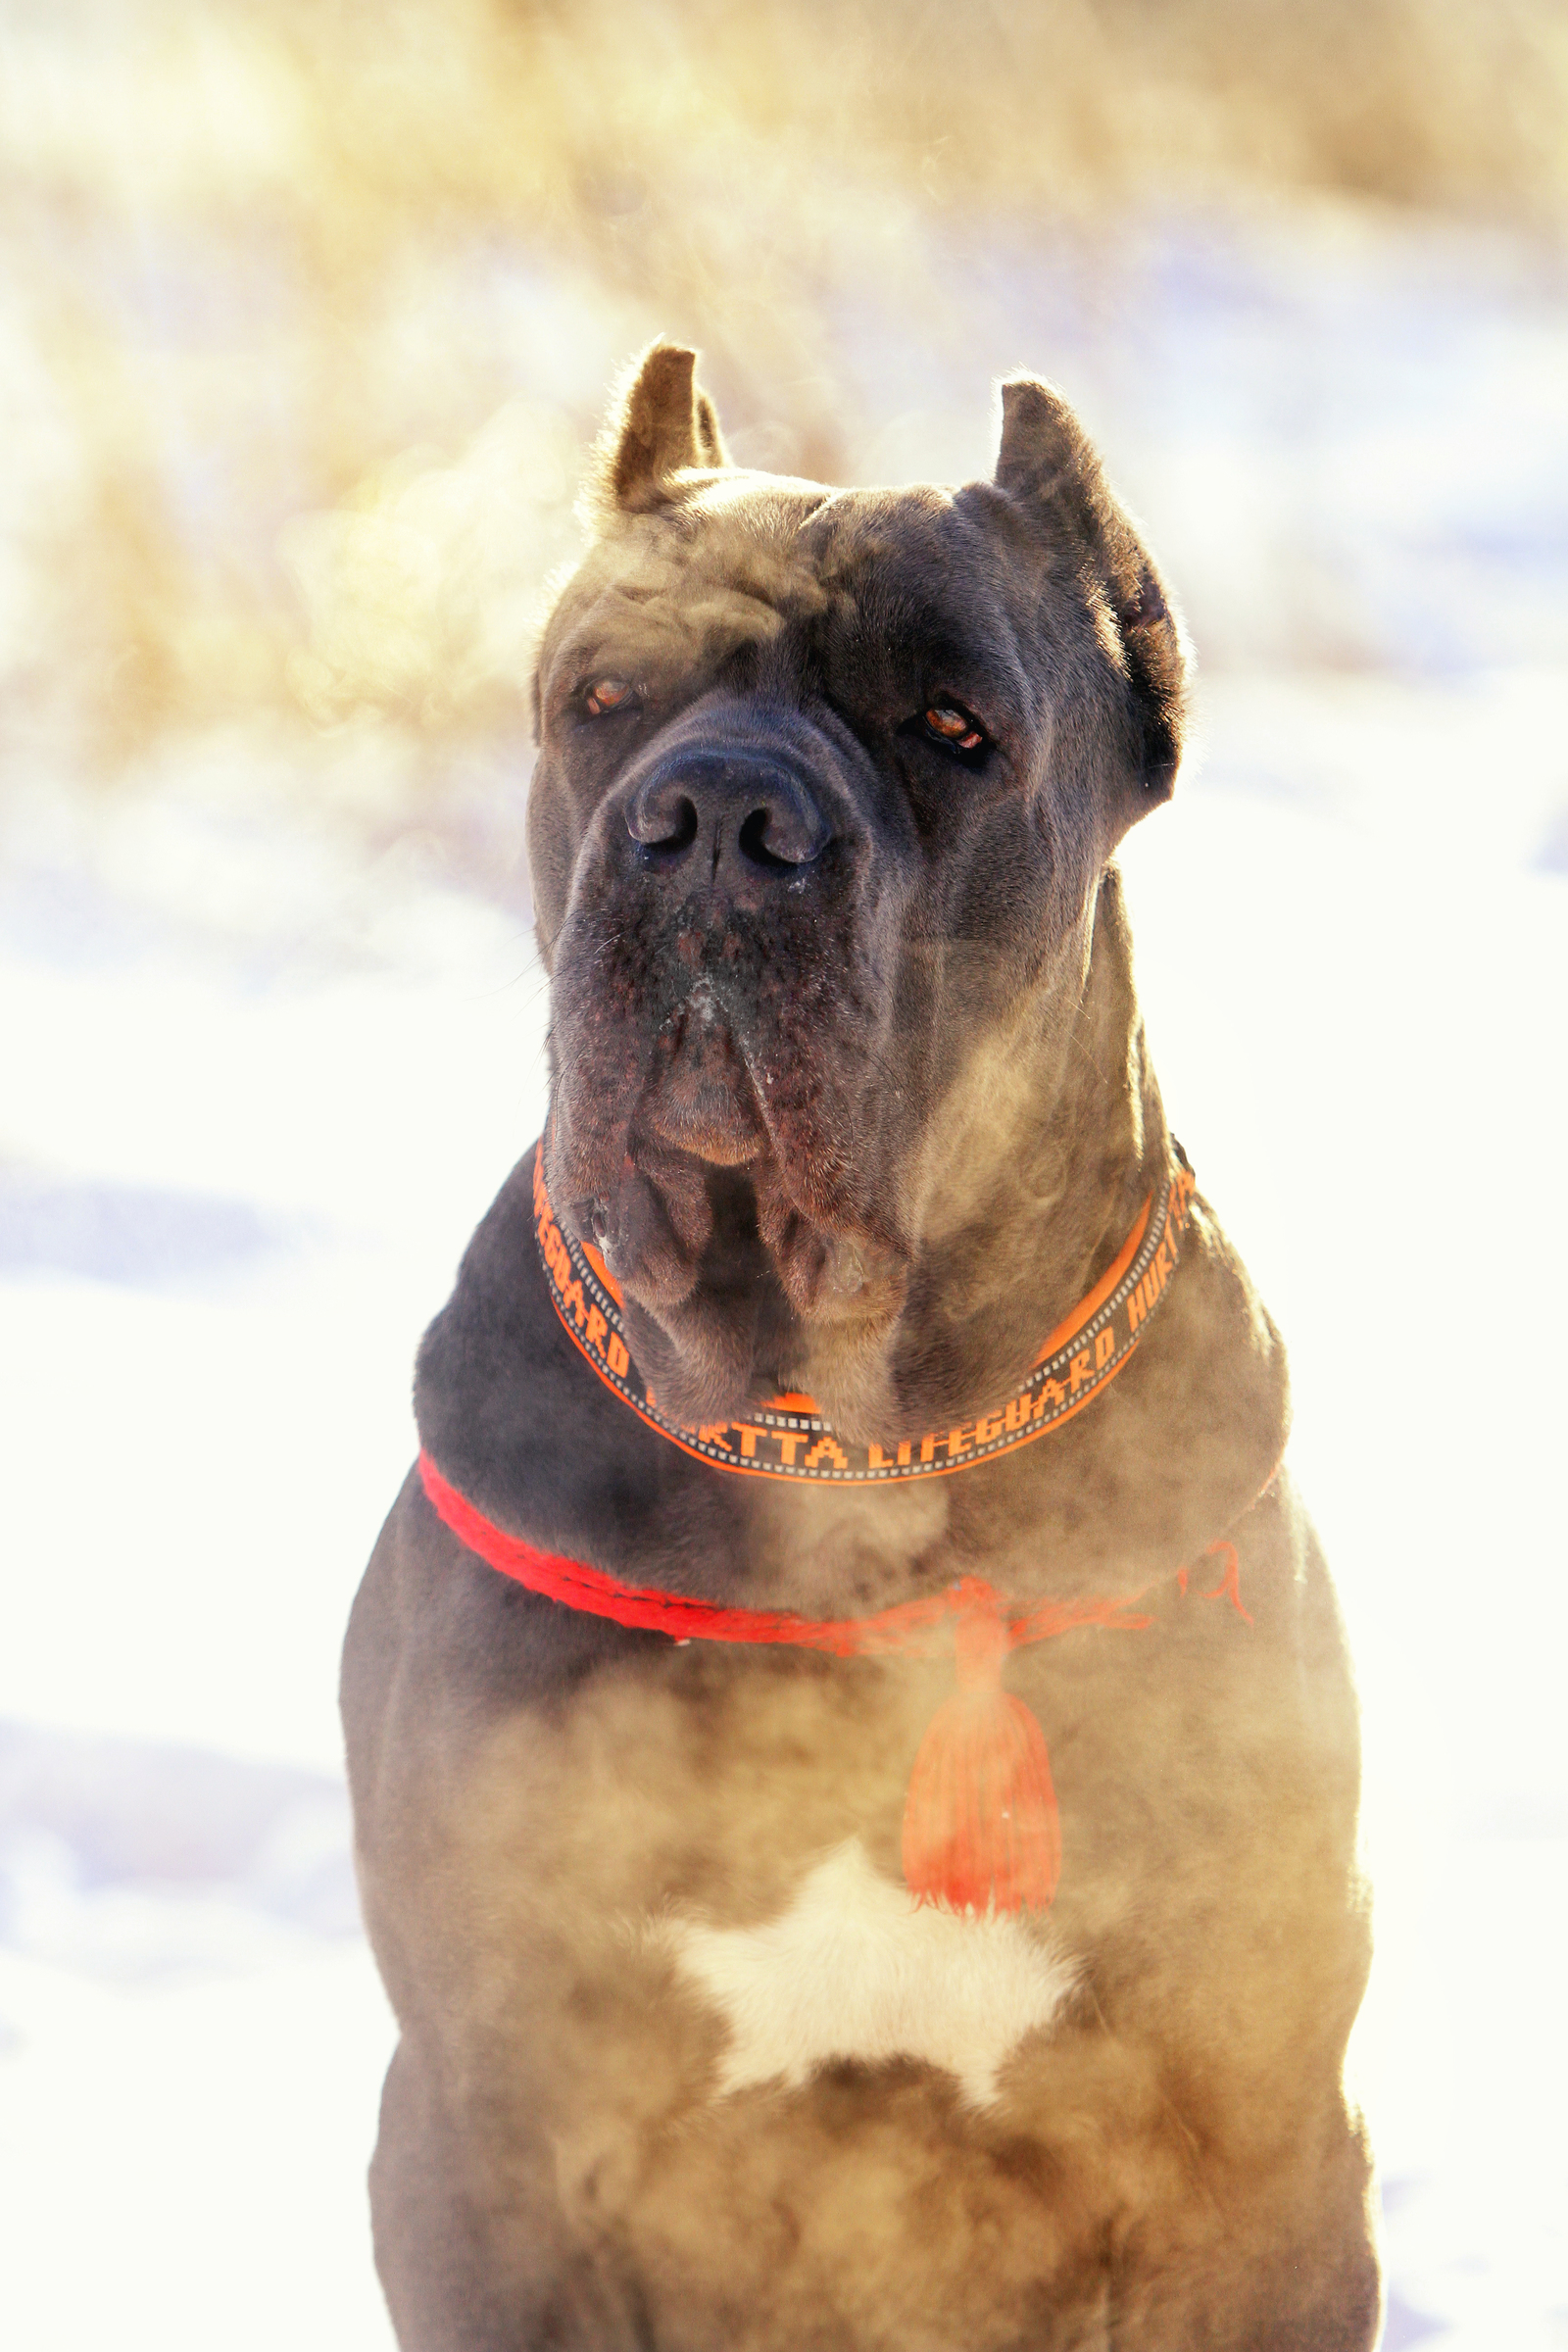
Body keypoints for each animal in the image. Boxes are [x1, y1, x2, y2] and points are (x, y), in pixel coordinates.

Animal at [340, 348, 1372, 2352]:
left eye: (952, 727)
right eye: (601, 701)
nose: (716, 818)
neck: (850, 1451)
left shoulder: (1259, 2155)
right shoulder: (488, 2146)